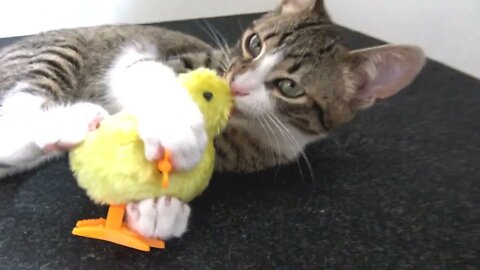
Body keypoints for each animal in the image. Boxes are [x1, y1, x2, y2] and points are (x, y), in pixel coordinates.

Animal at [0, 0, 424, 240]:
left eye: (289, 87)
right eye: (254, 44)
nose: (236, 84)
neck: (246, 124)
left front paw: (158, 210)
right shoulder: (160, 60)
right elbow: (147, 72)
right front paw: (175, 124)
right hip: (57, 50)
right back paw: (65, 122)